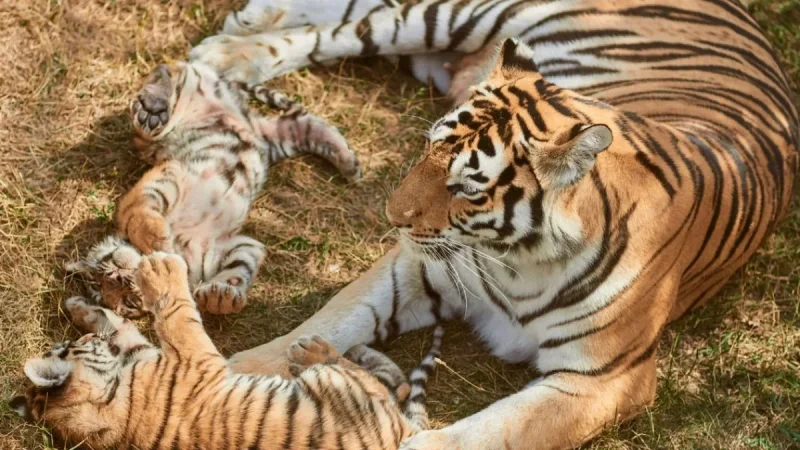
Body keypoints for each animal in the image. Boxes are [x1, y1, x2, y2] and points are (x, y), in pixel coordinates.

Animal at [12, 253, 443, 450]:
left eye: (65, 345)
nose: (74, 340)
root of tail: (405, 433)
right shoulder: (194, 359)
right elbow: (178, 314)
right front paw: (161, 268)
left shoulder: (144, 353)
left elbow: (122, 326)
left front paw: (81, 308)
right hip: (340, 391)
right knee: (377, 383)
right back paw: (314, 350)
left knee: (398, 384)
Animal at [67, 61, 361, 317]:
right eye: (126, 302)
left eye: (104, 270)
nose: (119, 278)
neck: (181, 246)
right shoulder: (238, 245)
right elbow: (240, 268)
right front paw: (220, 296)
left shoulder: (171, 173)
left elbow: (134, 213)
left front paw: (157, 240)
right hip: (279, 139)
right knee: (306, 124)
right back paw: (351, 164)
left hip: (186, 96)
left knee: (169, 72)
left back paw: (152, 107)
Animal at [182, 0, 800, 448]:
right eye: (427, 148)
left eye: (465, 187)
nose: (392, 217)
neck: (521, 259)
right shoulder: (415, 268)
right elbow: (331, 319)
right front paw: (238, 374)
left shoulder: (602, 379)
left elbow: (490, 432)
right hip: (466, 16)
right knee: (348, 29)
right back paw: (228, 53)